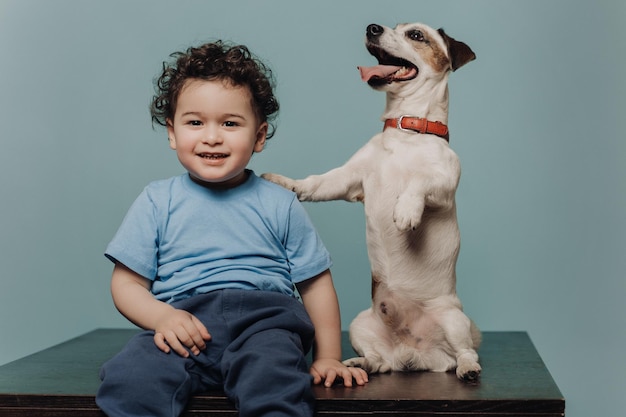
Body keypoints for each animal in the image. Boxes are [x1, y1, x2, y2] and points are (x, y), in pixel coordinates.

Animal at [262, 22, 478, 380]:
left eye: (416, 35)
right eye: (394, 26)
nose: (372, 27)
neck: (406, 130)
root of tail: (414, 354)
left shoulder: (444, 185)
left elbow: (419, 181)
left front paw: (405, 210)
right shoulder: (347, 180)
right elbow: (314, 184)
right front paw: (284, 183)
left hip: (455, 321)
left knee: (463, 352)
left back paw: (469, 368)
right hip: (360, 324)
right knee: (381, 362)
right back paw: (360, 364)